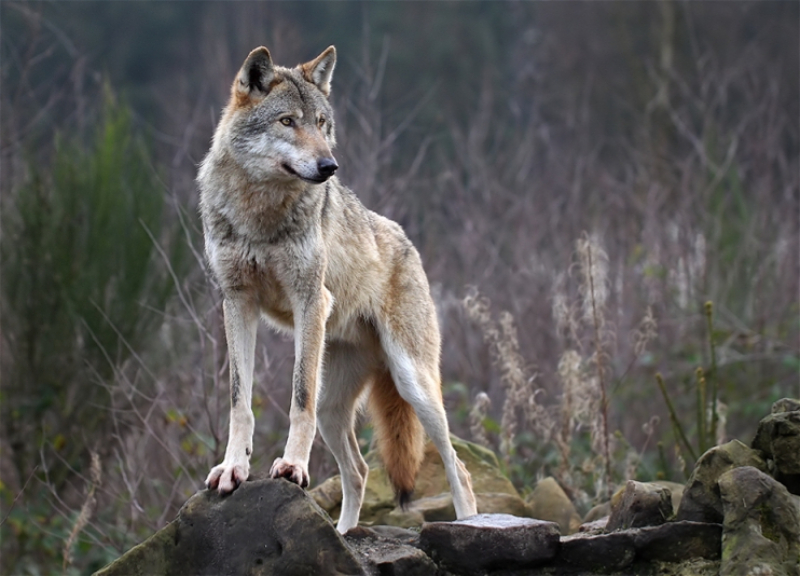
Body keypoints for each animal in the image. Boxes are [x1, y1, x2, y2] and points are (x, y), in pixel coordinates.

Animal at [197, 45, 477, 533]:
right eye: (287, 121)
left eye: (322, 123)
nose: (330, 166)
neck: (260, 212)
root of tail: (407, 242)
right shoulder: (236, 302)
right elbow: (239, 403)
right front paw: (233, 468)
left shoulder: (311, 298)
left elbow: (298, 400)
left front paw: (291, 466)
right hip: (336, 410)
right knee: (360, 471)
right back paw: (344, 534)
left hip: (414, 384)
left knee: (457, 467)